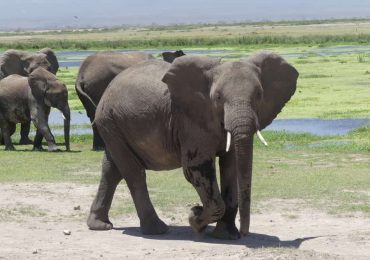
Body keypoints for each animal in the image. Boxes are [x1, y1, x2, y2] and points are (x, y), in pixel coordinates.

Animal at [87, 51, 298, 241]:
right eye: (218, 97)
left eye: (259, 95)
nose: (244, 234)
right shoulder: (191, 120)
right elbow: (196, 167)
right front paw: (195, 218)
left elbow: (232, 167)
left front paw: (226, 236)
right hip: (110, 121)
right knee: (133, 173)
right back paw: (157, 230)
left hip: (114, 125)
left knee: (112, 169)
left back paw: (100, 225)